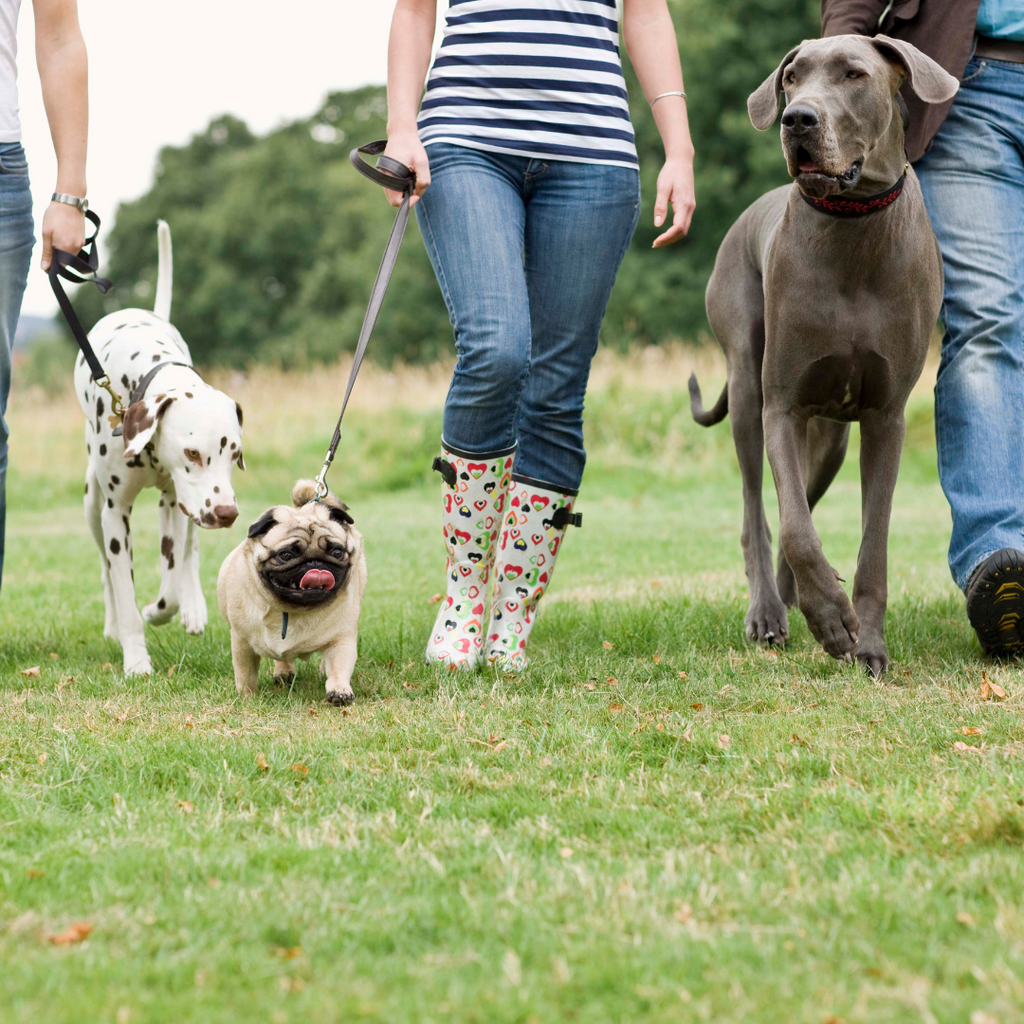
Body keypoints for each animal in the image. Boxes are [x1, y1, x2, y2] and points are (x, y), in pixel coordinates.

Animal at [74, 220, 246, 675]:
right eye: (192, 453)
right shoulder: (116, 514)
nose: (228, 513)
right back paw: (113, 626)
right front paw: (135, 657)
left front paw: (162, 609)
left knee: (189, 553)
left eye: (234, 454)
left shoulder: (175, 503)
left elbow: (170, 583)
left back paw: (194, 605)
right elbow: (123, 590)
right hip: (92, 505)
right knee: (104, 570)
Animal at [216, 479, 368, 704]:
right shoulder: (242, 642)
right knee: (282, 658)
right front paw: (246, 697)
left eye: (337, 552)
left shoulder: (342, 638)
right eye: (286, 555)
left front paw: (339, 691)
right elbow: (245, 673)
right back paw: (283, 672)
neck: (293, 609)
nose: (315, 563)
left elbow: (339, 666)